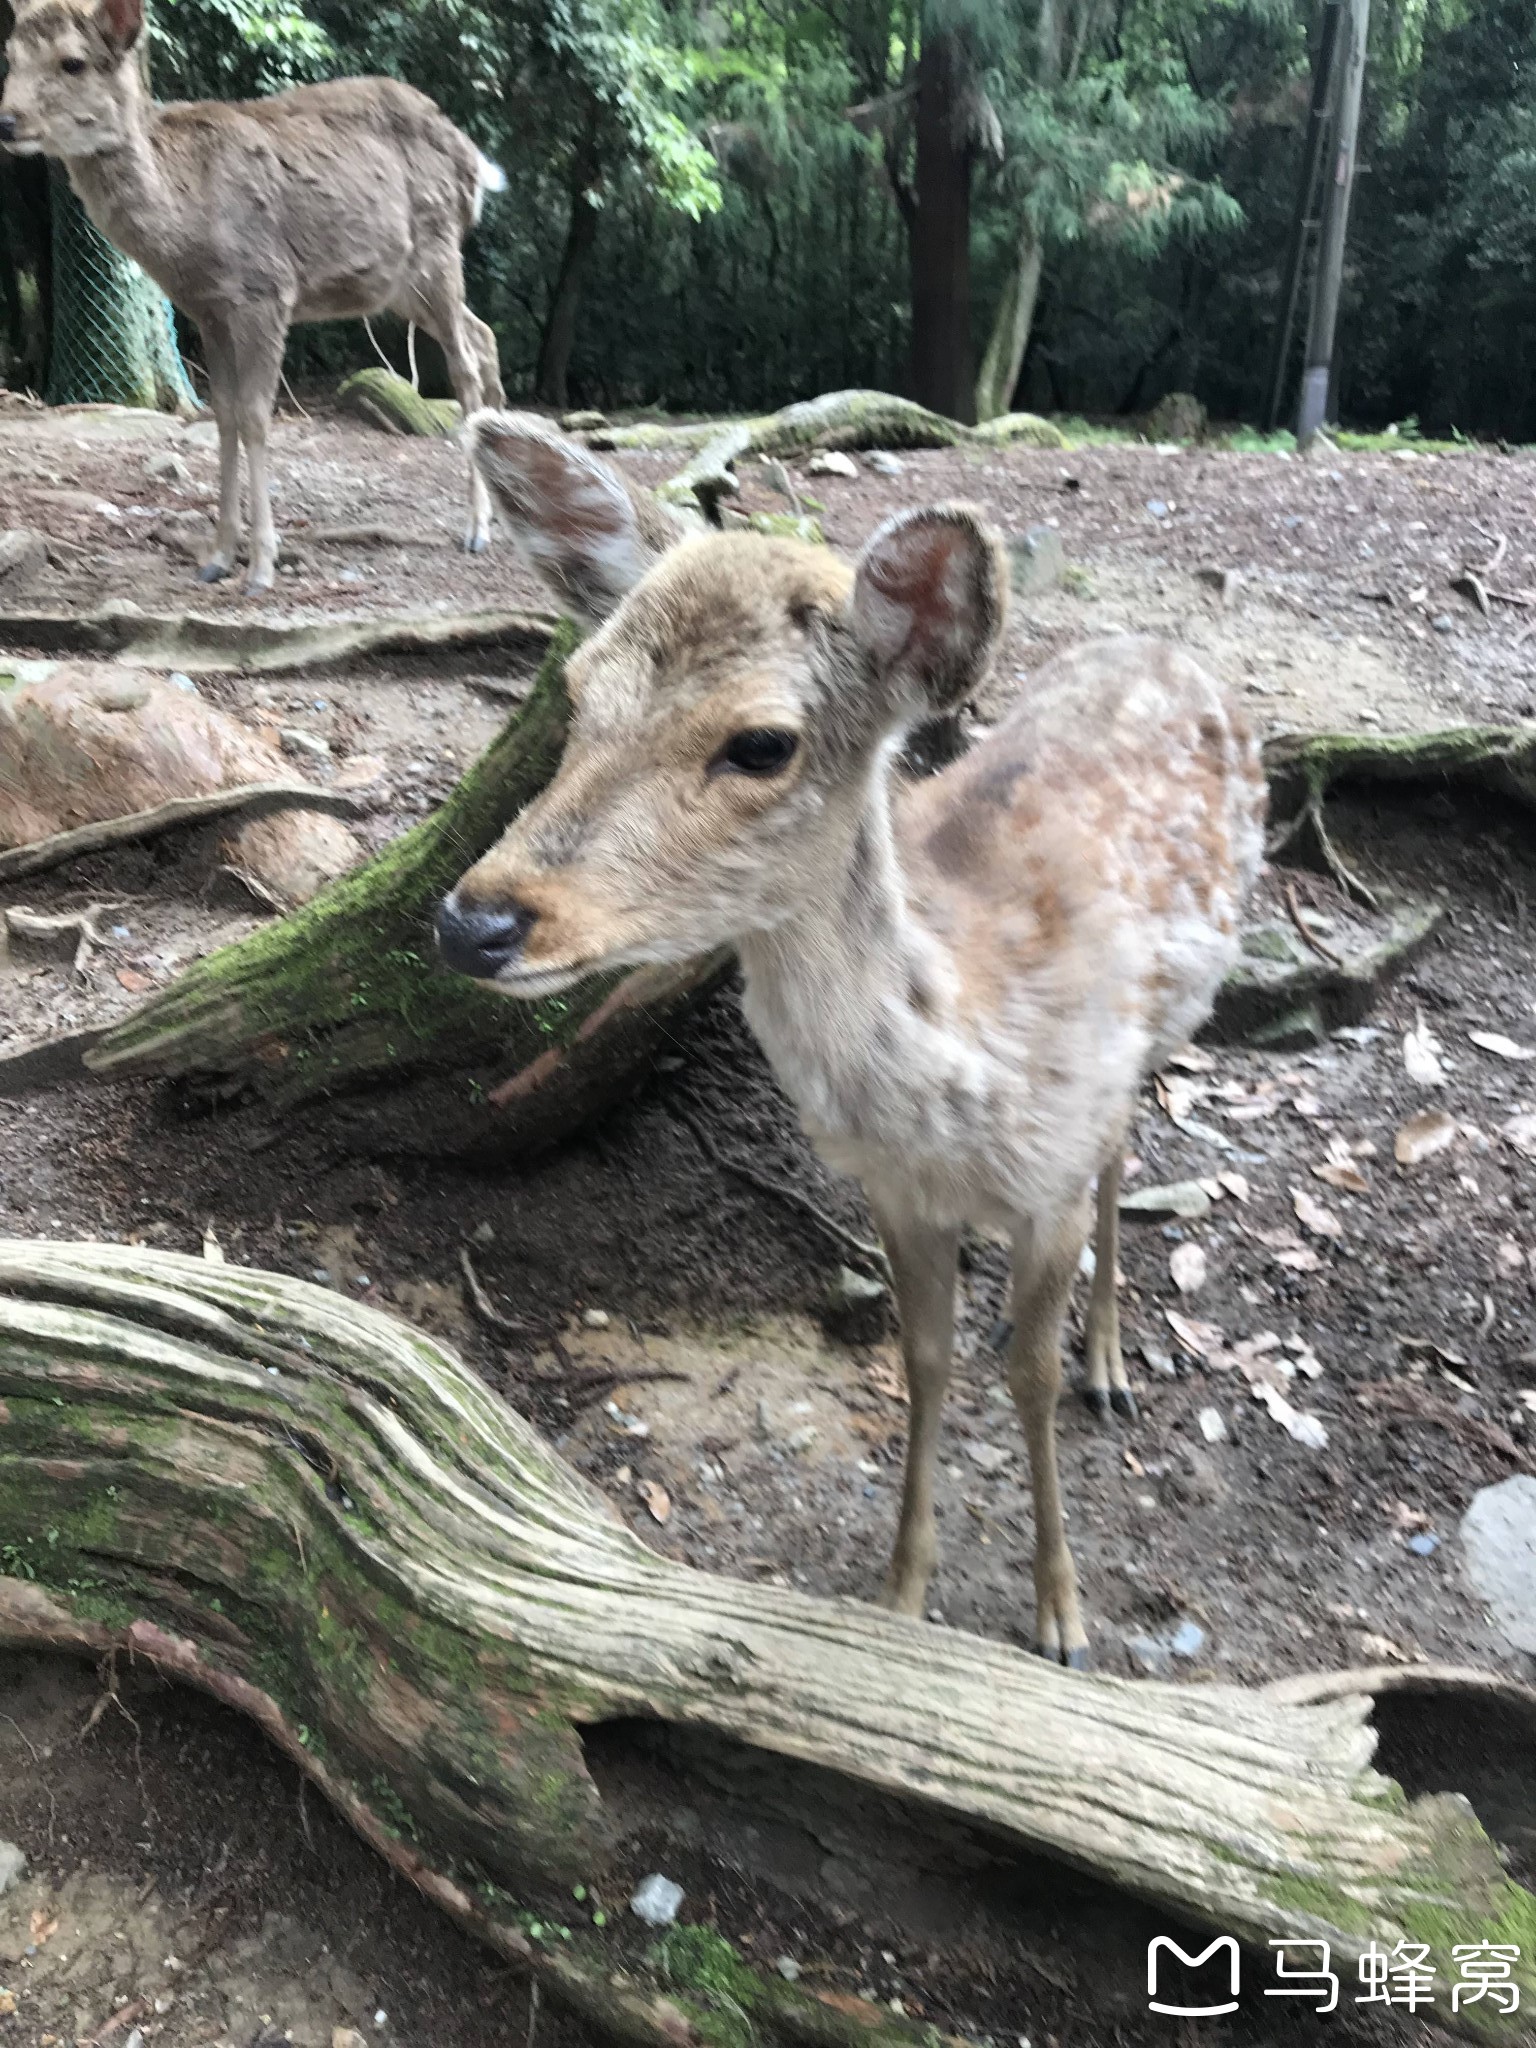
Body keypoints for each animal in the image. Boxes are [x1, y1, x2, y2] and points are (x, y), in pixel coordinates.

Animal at [0, 0, 507, 598]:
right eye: (9, 56)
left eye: (73, 62)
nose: (7, 121)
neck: (185, 222)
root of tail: (475, 163)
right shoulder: (208, 309)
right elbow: (221, 416)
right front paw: (217, 556)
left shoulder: (265, 289)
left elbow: (256, 417)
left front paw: (261, 565)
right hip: (399, 285)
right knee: (484, 335)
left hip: (438, 247)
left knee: (464, 363)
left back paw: (477, 526)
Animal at [438, 415, 1269, 1662]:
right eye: (576, 692)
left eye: (761, 742)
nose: (473, 920)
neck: (961, 1085)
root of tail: (1167, 647)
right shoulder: (892, 1195)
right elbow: (923, 1360)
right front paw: (900, 1597)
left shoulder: (1051, 1176)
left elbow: (1025, 1373)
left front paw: (1061, 1614)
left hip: (1172, 1016)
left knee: (1127, 1152)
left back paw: (1111, 1362)